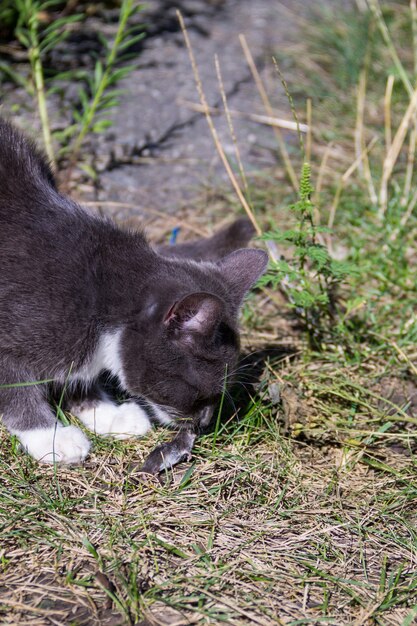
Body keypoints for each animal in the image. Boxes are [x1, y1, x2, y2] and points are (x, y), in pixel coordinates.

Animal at [0, 119, 266, 464]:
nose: (205, 421)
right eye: (198, 389)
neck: (101, 291)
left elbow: (77, 376)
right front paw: (50, 437)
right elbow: (16, 389)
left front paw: (108, 414)